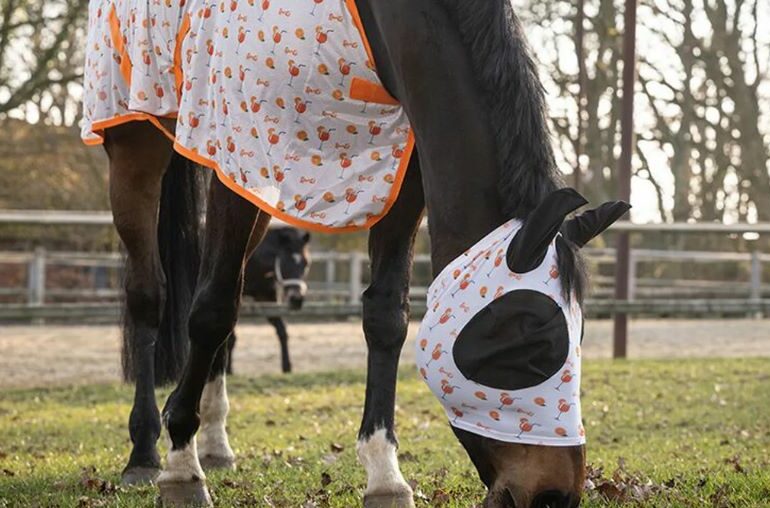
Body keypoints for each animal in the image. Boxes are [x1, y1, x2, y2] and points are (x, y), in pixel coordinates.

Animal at [227, 227, 311, 374]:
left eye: (306, 263)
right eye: (284, 262)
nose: (296, 300)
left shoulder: (265, 297)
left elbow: (282, 330)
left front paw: (287, 366)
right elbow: (230, 337)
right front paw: (228, 369)